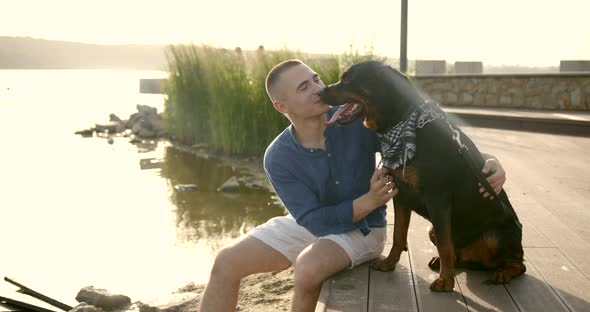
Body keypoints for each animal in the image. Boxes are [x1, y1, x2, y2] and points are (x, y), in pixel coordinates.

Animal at [322, 61, 528, 292]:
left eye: (348, 80)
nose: (320, 92)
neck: (402, 123)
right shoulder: (400, 192)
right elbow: (398, 234)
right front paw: (389, 263)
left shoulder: (437, 197)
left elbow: (444, 244)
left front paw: (445, 281)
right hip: (433, 229)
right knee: (458, 253)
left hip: (494, 236)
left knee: (518, 263)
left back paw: (502, 272)